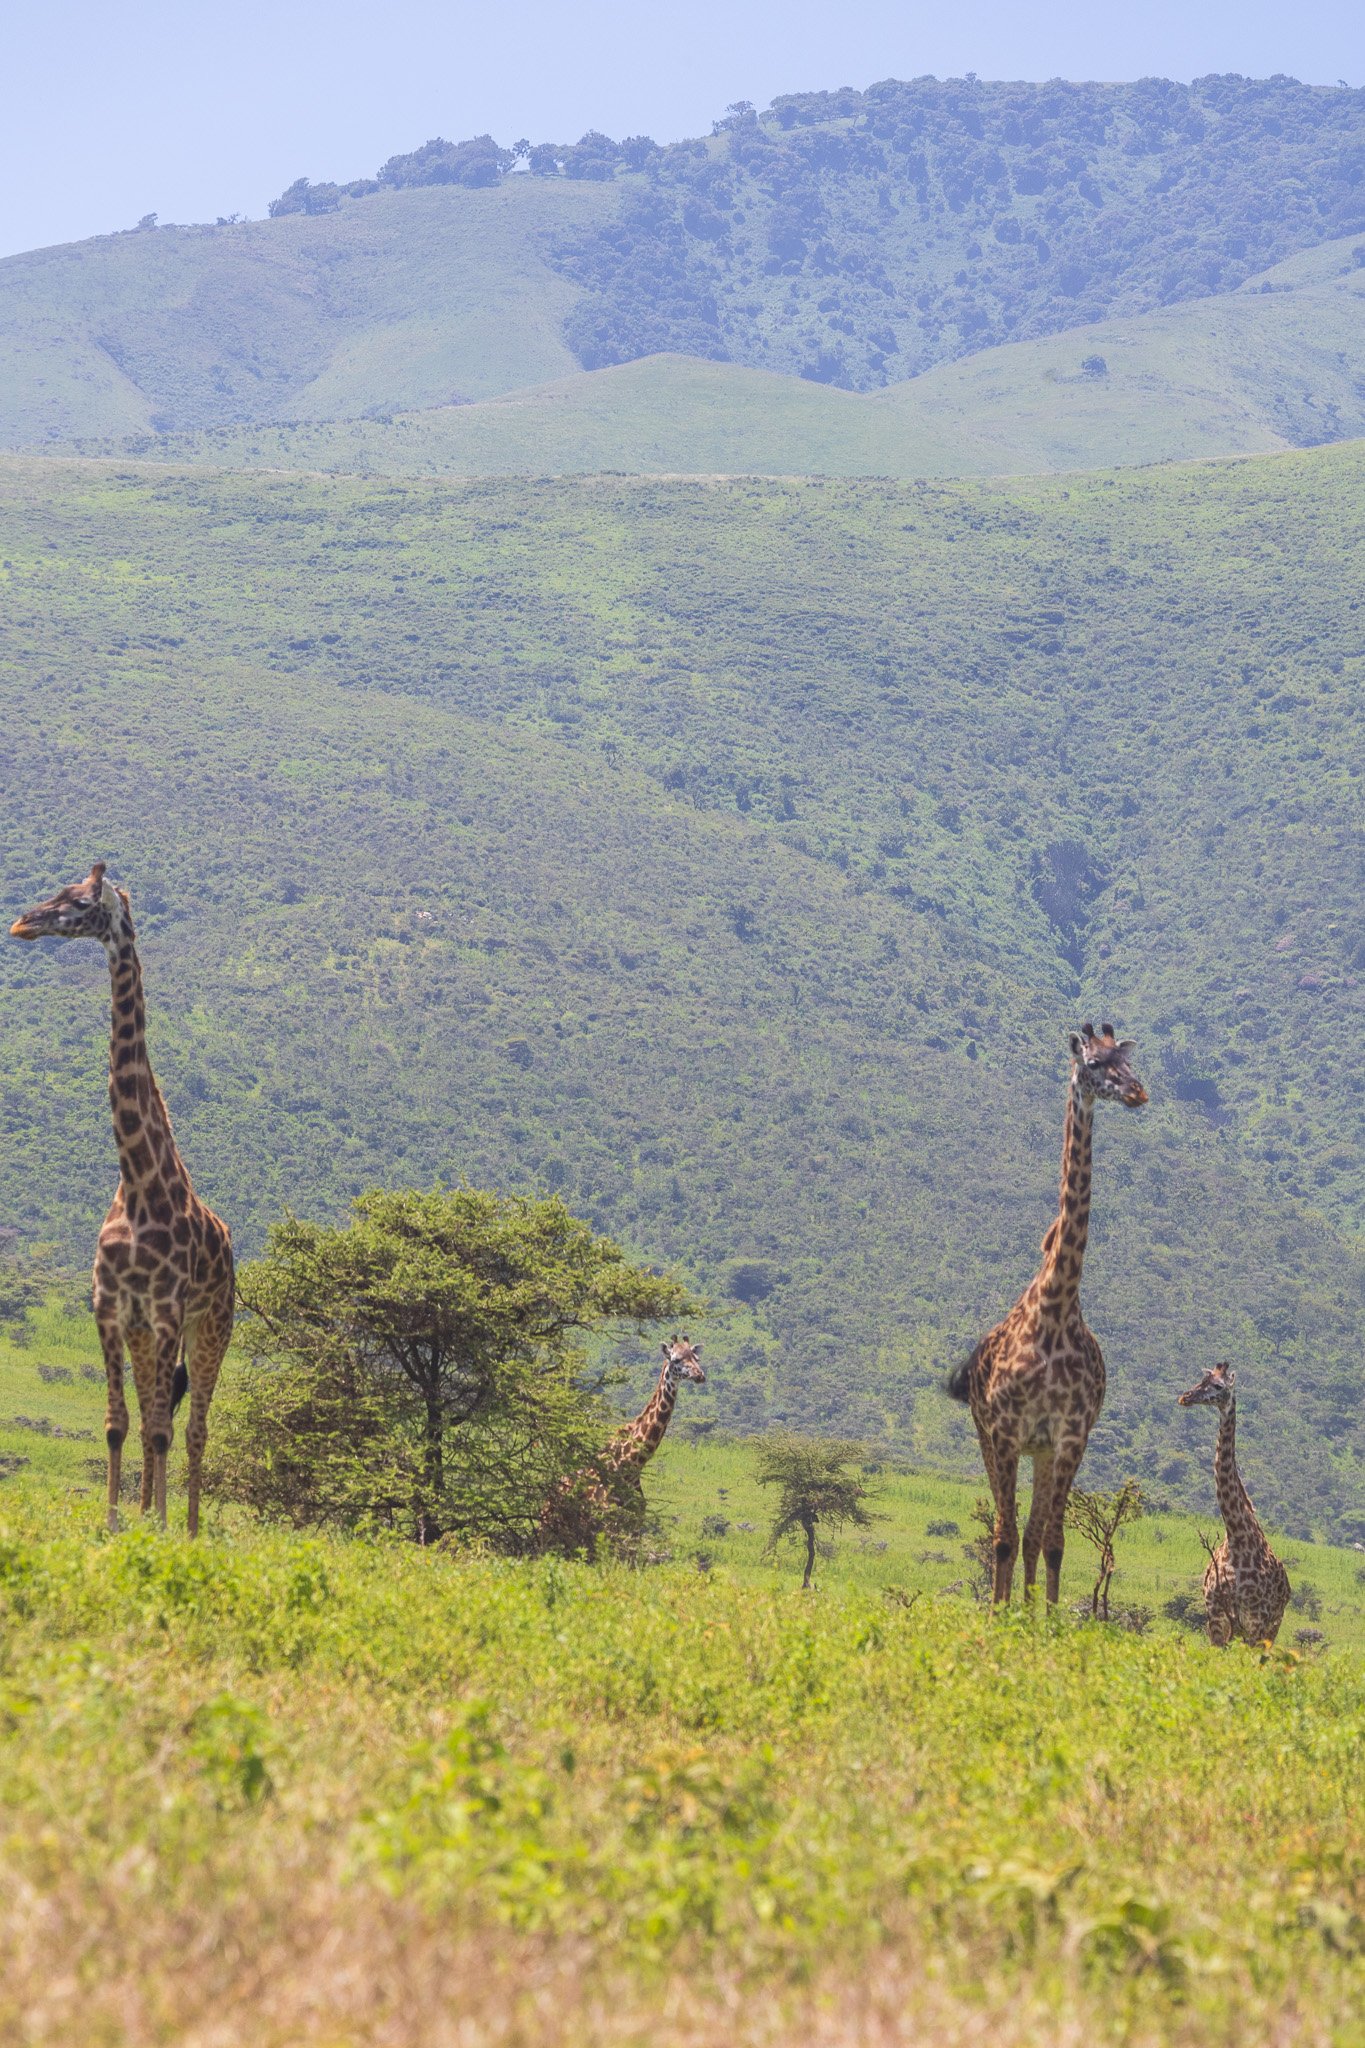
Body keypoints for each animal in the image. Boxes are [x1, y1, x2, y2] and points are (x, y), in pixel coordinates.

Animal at [9, 864, 233, 1540]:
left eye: (78, 902)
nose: (21, 923)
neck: (136, 1184)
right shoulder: (111, 1311)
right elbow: (117, 1425)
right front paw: (112, 1525)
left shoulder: (165, 1314)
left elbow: (160, 1430)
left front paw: (157, 1528)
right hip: (148, 1335)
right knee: (153, 1417)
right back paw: (146, 1514)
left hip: (211, 1326)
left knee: (192, 1427)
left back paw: (187, 1527)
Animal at [945, 1019, 1146, 1597]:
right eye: (1095, 1065)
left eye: (1128, 1062)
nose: (1138, 1093)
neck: (1056, 1310)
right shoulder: (1007, 1432)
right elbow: (1004, 1539)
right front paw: (999, 1615)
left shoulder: (1069, 1437)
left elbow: (1053, 1543)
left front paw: (1045, 1616)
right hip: (990, 1437)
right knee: (1006, 1532)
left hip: (1041, 1452)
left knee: (1034, 1535)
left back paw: (1028, 1608)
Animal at [1178, 1359, 1293, 1646]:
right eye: (1202, 1380)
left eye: (1219, 1386)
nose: (1186, 1397)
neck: (1237, 1537)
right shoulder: (1216, 1619)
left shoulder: (1255, 1623)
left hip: (1272, 1628)